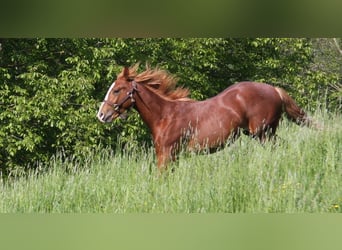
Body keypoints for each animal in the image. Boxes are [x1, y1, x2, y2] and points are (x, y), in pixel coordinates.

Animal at [95, 64, 312, 170]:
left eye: (117, 90)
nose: (101, 114)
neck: (166, 115)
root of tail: (274, 90)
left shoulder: (167, 154)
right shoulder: (169, 155)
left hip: (263, 133)